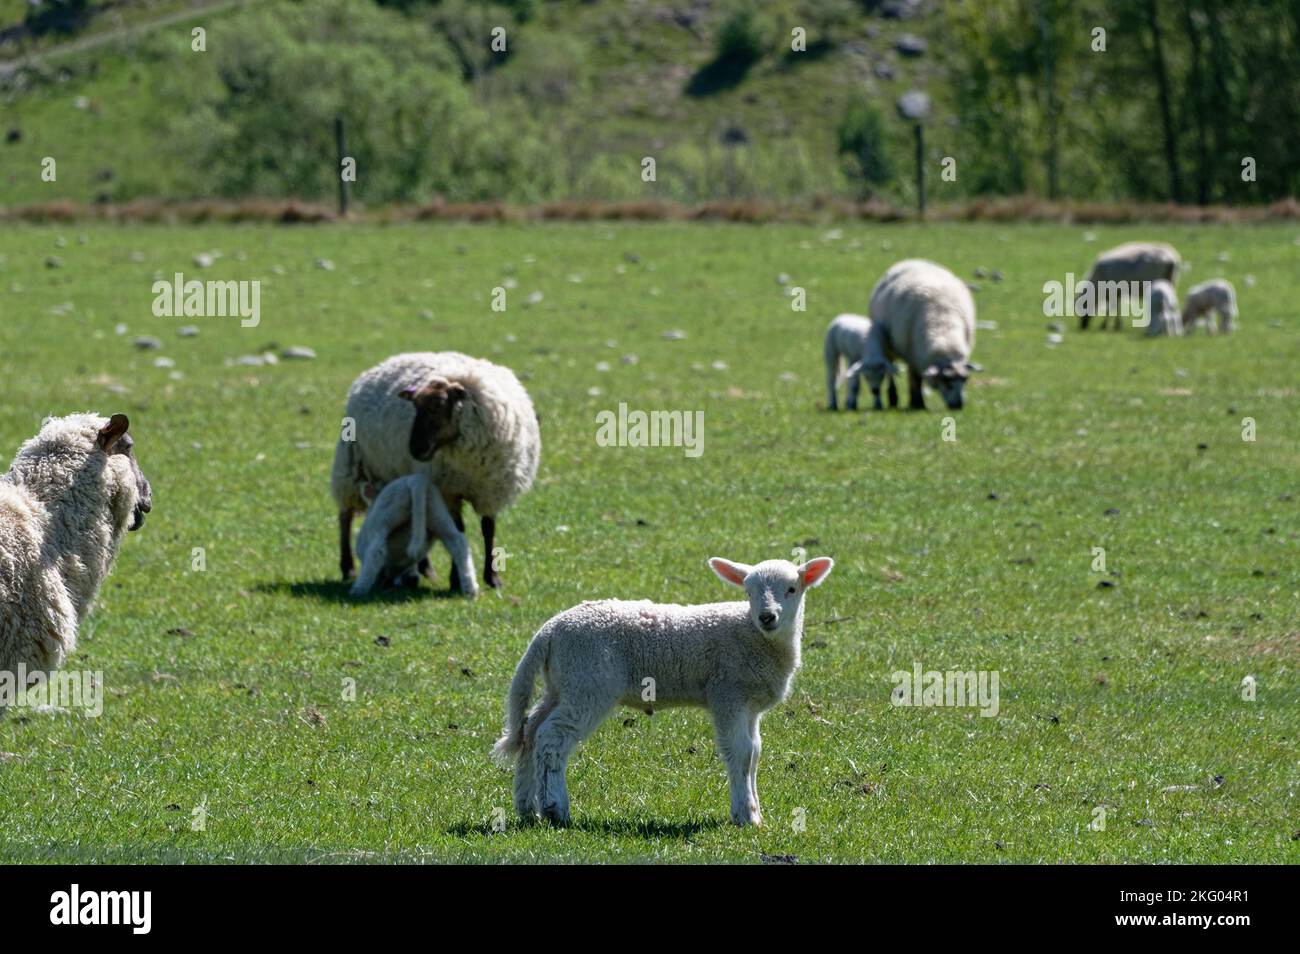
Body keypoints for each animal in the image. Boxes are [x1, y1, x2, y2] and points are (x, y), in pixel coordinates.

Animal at [349, 471, 479, 599]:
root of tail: (416, 479)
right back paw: (470, 588)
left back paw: (359, 589)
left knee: (376, 551)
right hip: (437, 512)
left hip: (385, 516)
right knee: (458, 543)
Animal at [491, 555, 835, 827]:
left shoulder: (749, 705)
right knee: (552, 737)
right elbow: (740, 752)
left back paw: (527, 807)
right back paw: (555, 810)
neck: (754, 636)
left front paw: (755, 811)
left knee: (530, 732)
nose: (767, 617)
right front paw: (745, 815)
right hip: (588, 683)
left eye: (792, 589)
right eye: (748, 592)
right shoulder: (727, 694)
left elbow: (754, 753)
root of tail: (548, 631)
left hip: (562, 684)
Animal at [844, 259, 981, 411]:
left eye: (965, 381)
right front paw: (918, 403)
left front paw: (916, 401)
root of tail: (911, 260)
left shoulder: (918, 355)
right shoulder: (914, 355)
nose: (958, 405)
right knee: (891, 371)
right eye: (947, 382)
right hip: (891, 347)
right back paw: (894, 398)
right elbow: (916, 378)